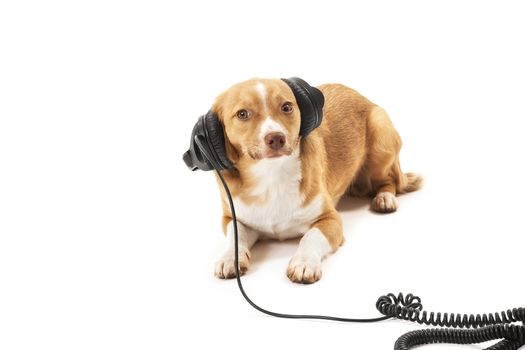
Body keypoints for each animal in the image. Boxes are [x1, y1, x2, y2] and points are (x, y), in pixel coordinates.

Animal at [207, 78, 420, 284]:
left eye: (286, 107)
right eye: (242, 114)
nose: (276, 138)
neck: (272, 176)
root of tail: (362, 97)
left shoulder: (330, 219)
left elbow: (310, 237)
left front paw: (304, 262)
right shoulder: (233, 219)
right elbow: (234, 239)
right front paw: (229, 258)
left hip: (380, 137)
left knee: (389, 180)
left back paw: (384, 198)